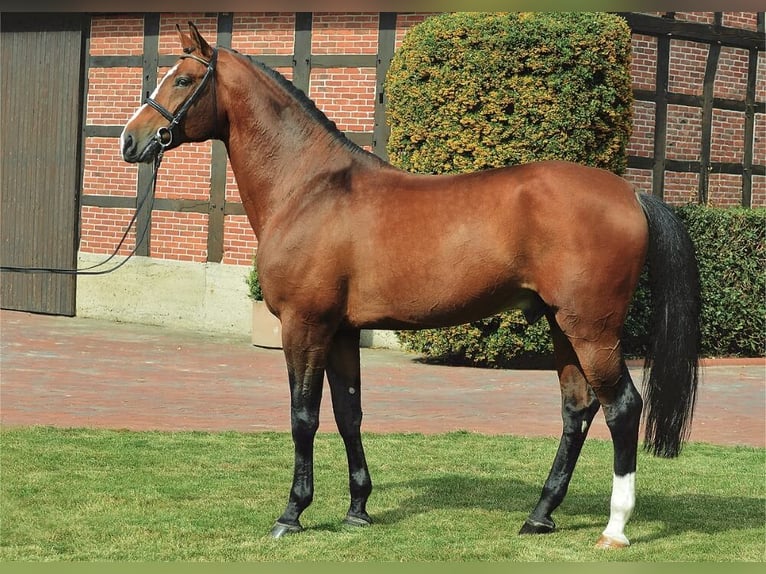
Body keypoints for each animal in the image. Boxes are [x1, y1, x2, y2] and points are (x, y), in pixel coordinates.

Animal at [120, 22, 704, 552]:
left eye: (183, 79)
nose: (130, 139)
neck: (309, 187)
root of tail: (631, 194)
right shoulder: (341, 331)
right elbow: (349, 414)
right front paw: (358, 510)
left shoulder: (304, 326)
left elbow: (304, 417)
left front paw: (292, 513)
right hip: (564, 327)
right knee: (577, 410)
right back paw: (539, 515)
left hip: (592, 330)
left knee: (622, 407)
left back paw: (615, 527)